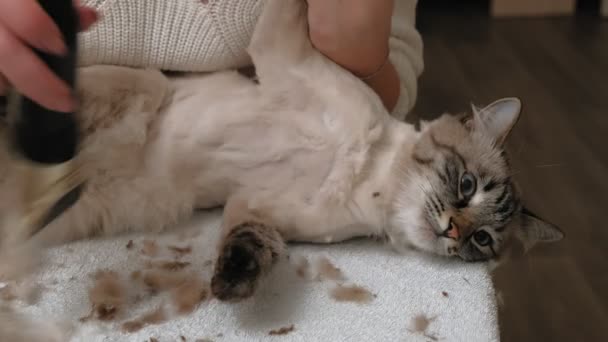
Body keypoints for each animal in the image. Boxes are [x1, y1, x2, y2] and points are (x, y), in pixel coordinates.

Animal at [0, 0, 564, 308]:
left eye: (483, 240)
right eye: (466, 186)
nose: (452, 232)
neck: (368, 179)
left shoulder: (257, 207)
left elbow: (251, 242)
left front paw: (231, 286)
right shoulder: (281, 49)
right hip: (144, 87)